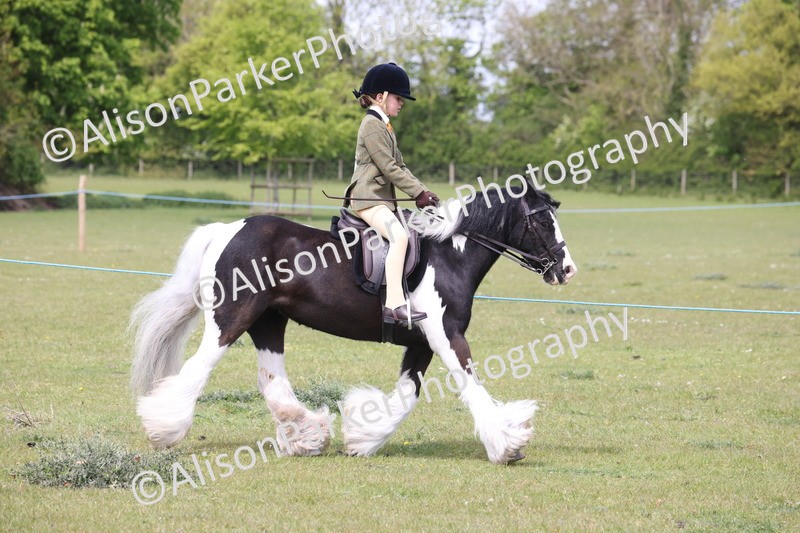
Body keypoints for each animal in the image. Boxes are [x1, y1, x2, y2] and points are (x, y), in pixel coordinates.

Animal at [129, 183, 578, 464]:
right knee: (197, 369)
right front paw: (508, 443)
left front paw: (363, 436)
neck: (449, 256)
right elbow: (471, 384)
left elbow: (406, 396)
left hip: (270, 321)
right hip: (231, 319)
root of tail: (227, 229)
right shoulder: (446, 335)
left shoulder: (421, 343)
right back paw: (163, 428)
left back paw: (307, 436)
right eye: (542, 222)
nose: (567, 270)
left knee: (271, 379)